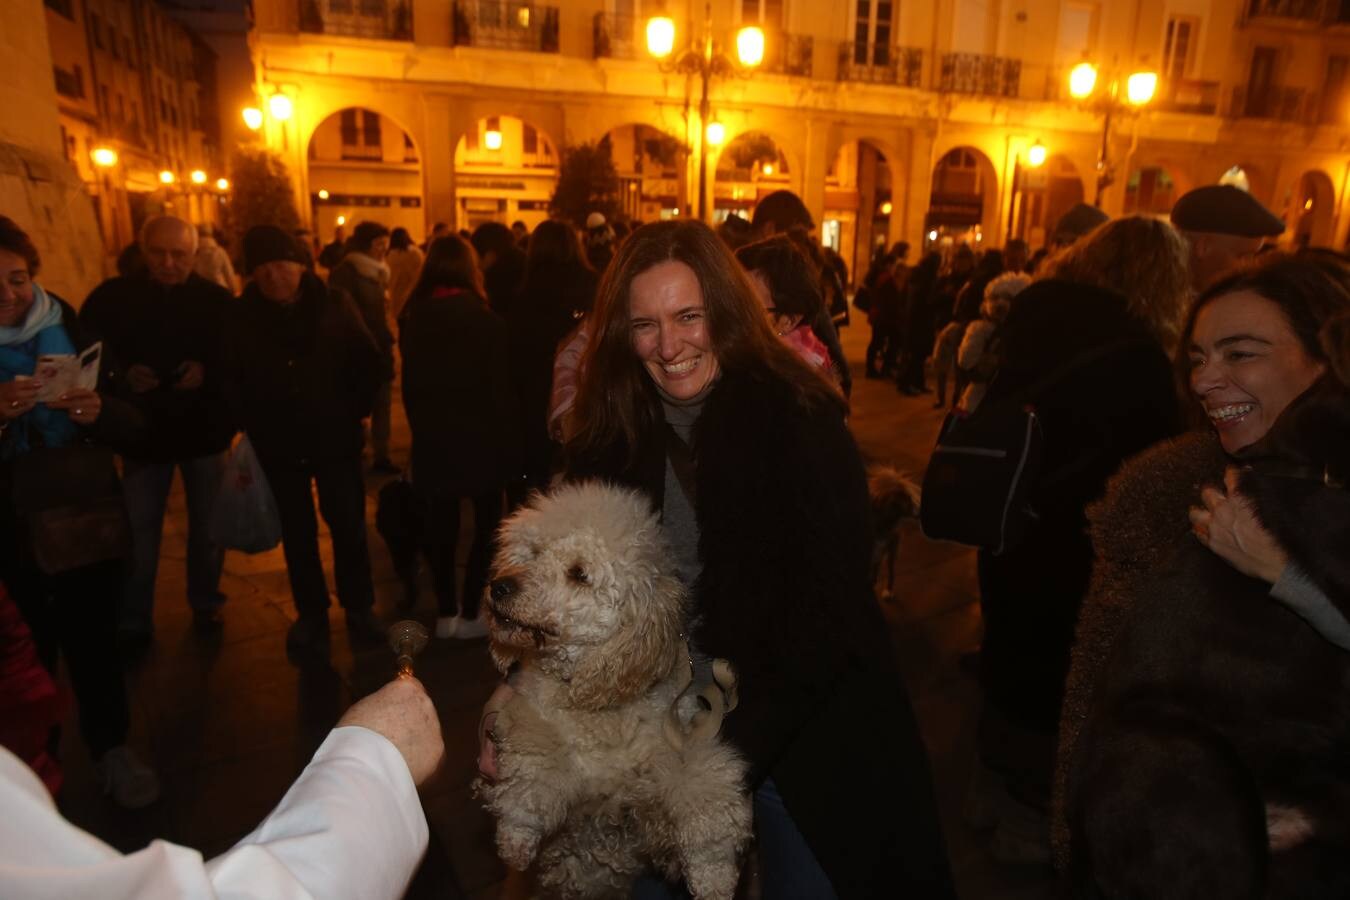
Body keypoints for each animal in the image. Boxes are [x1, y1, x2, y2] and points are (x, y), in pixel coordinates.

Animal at [475, 483, 750, 895]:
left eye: (578, 574)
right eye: (533, 552)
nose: (499, 586)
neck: (598, 703)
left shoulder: (681, 747)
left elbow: (706, 790)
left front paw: (713, 874)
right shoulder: (528, 718)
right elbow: (533, 766)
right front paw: (517, 834)